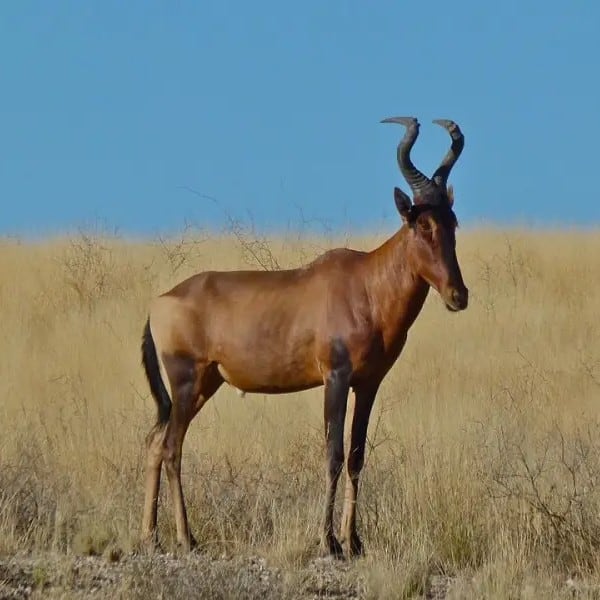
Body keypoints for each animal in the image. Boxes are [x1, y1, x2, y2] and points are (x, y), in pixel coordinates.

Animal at [139, 116, 468, 556]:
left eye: (453, 222)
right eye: (421, 224)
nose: (458, 295)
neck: (365, 283)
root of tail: (159, 303)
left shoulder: (368, 384)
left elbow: (357, 457)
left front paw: (354, 541)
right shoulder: (335, 378)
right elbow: (333, 454)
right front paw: (329, 542)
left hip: (203, 385)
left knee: (155, 442)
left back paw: (150, 535)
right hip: (186, 381)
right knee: (172, 447)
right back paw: (186, 538)